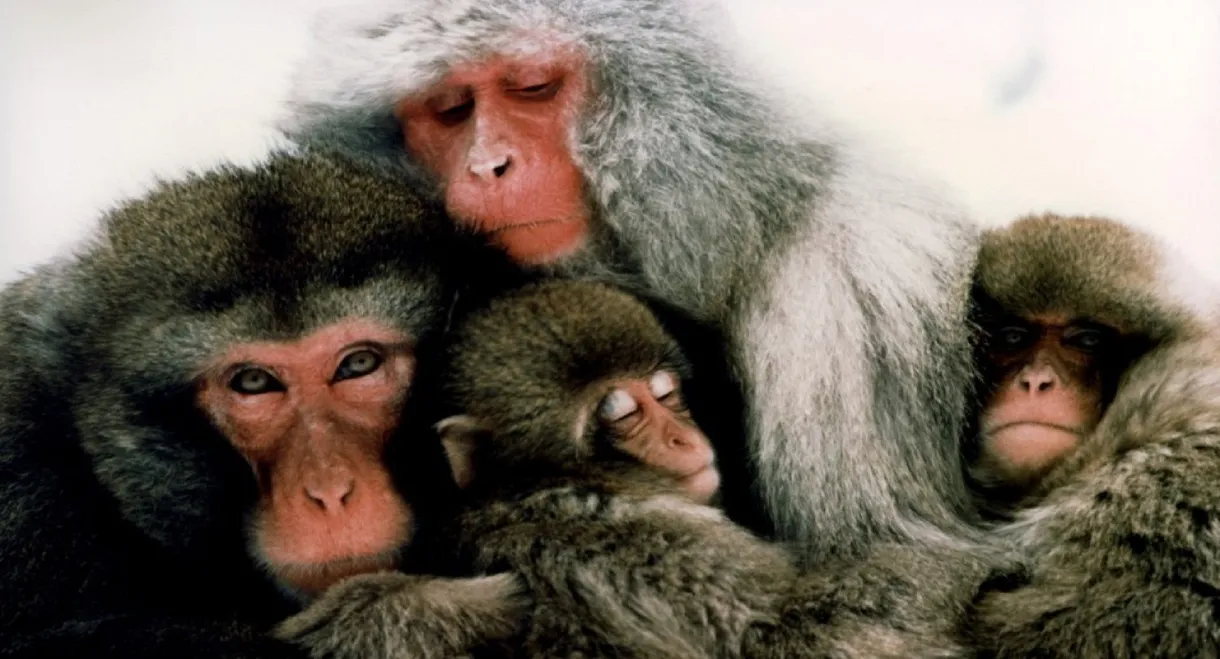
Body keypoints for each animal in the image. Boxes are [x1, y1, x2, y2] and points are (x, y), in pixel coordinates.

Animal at [278, 280, 998, 659]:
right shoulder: (635, 539)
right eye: (620, 413)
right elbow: (797, 634)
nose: (684, 436)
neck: (537, 488)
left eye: (664, 393)